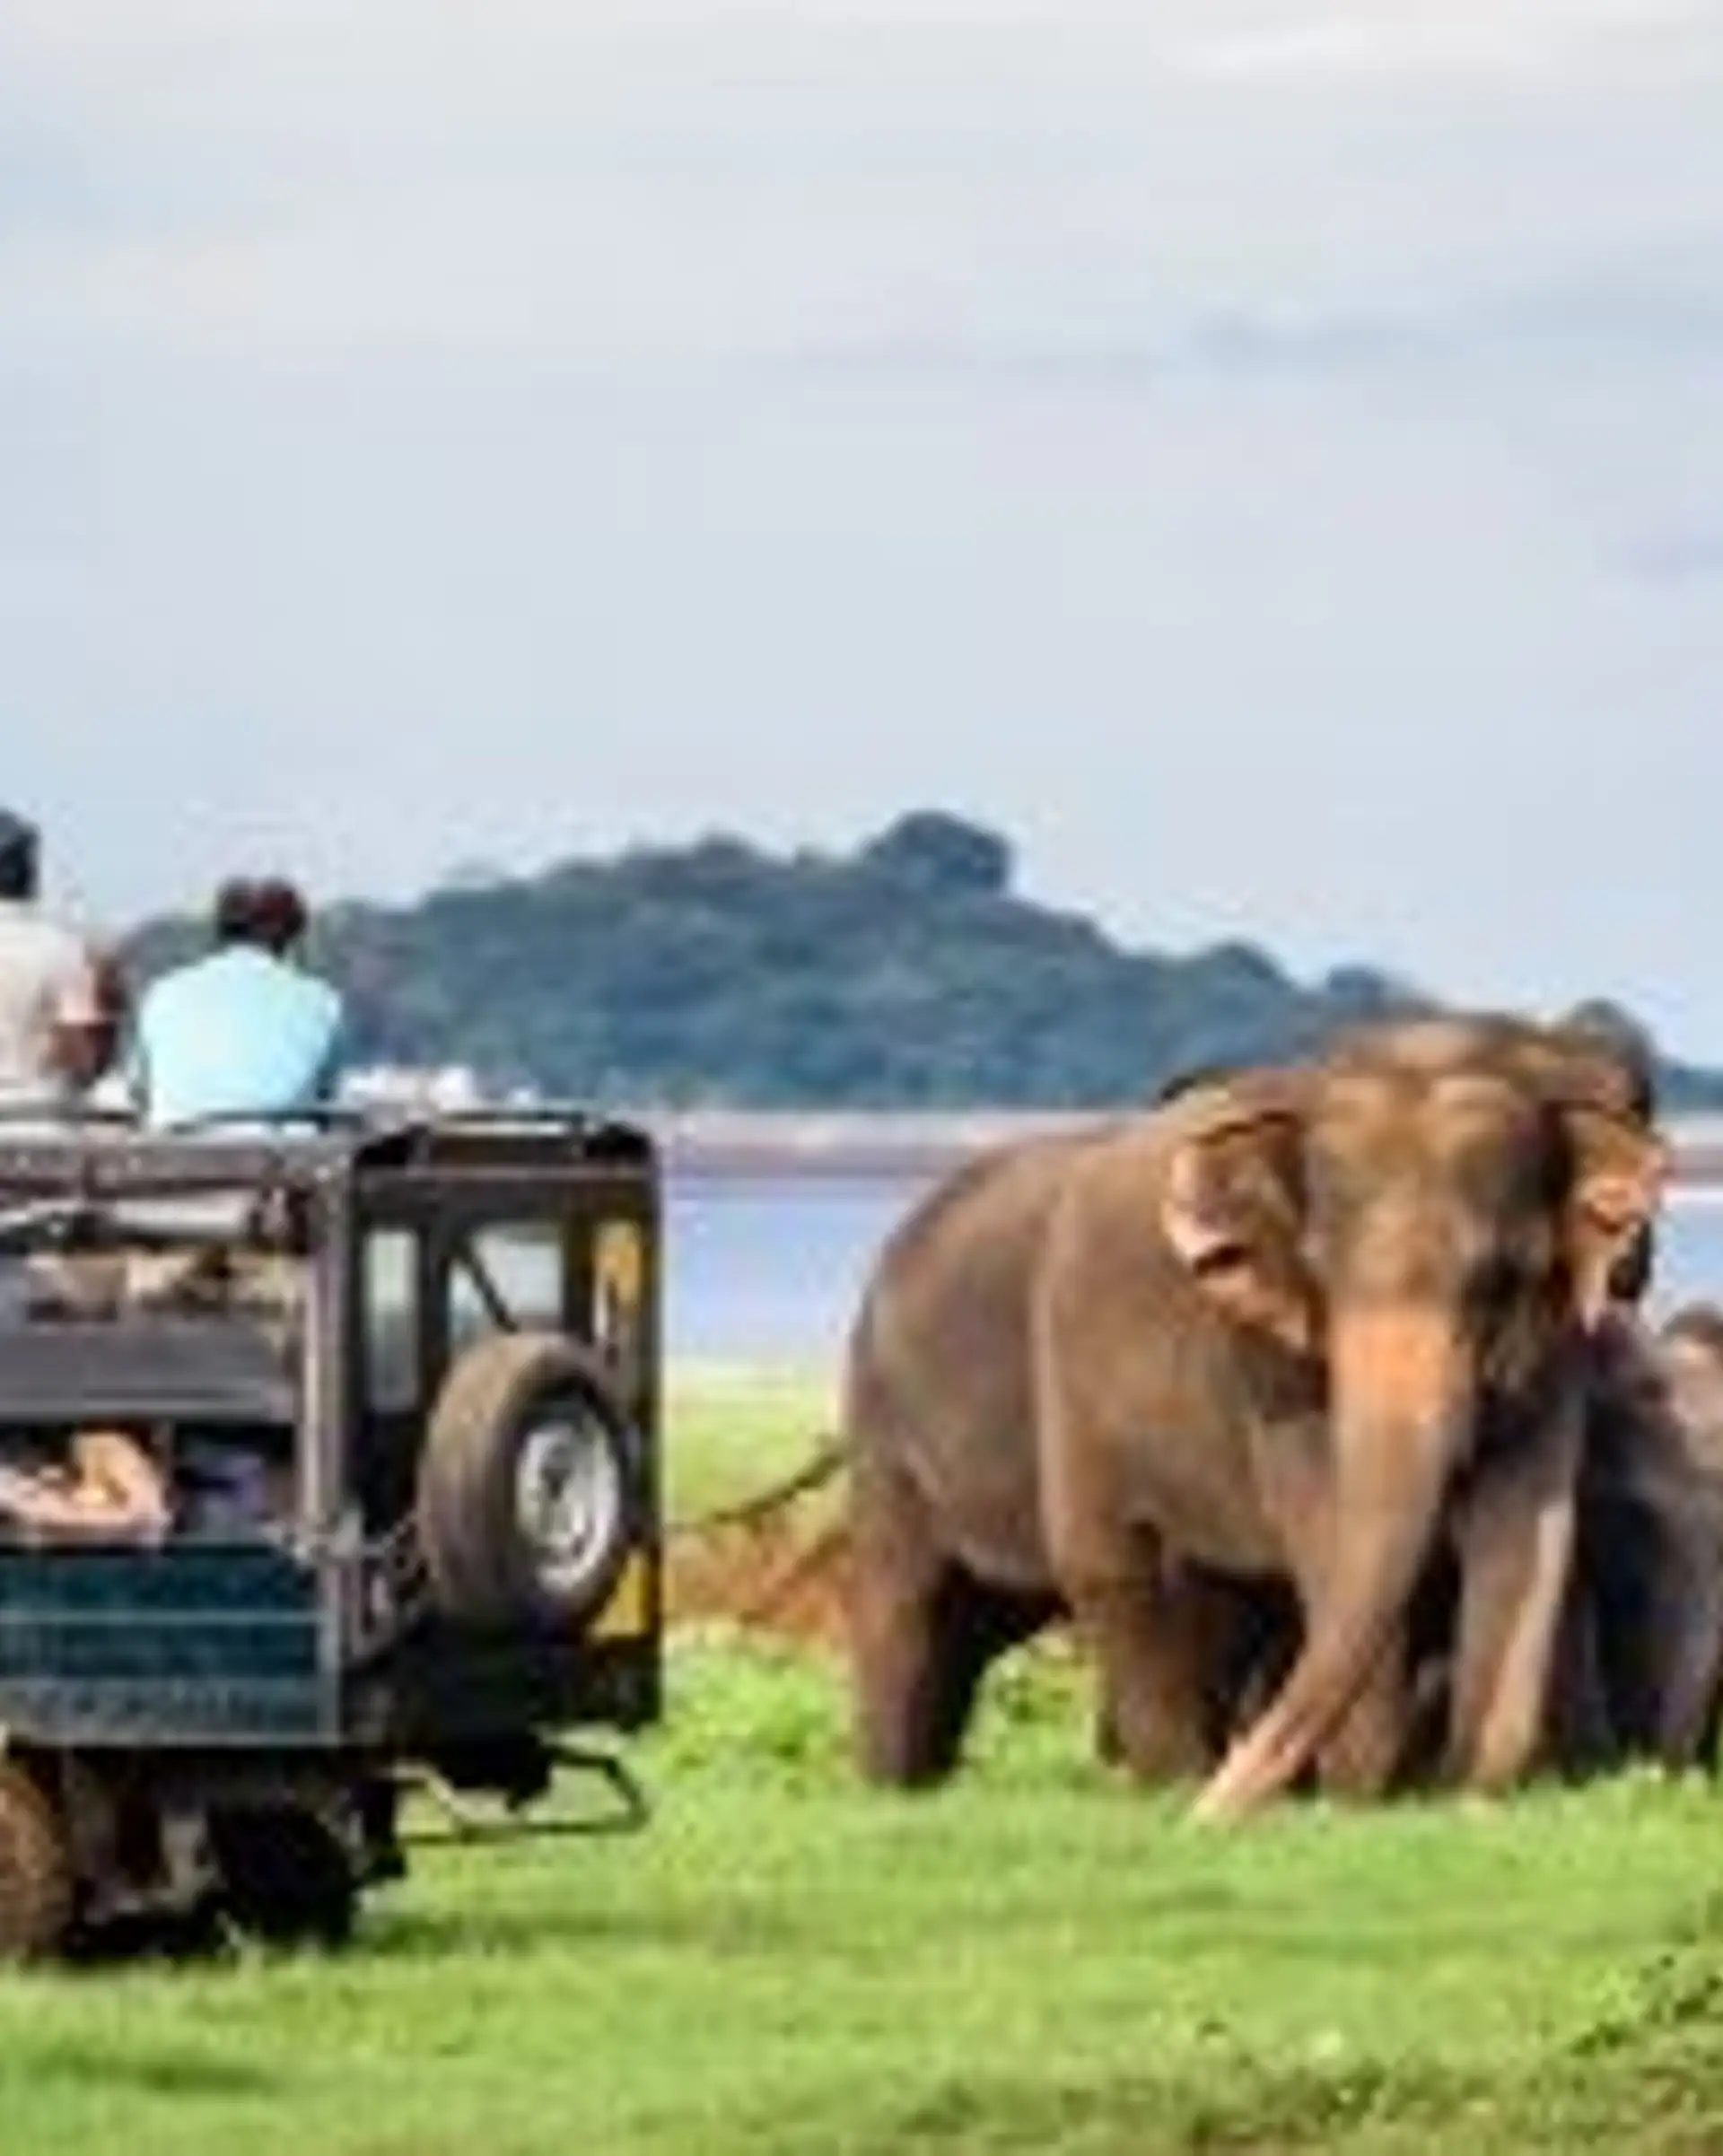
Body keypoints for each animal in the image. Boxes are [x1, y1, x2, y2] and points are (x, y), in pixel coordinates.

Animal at [842, 1014, 1664, 1820]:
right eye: (1319, 1274)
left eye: (1501, 1280)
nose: (1218, 1811)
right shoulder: (1267, 1360)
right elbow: (1327, 1530)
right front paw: (1363, 1799)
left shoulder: (1555, 1345)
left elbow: (1527, 1531)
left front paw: (1467, 1793)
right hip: (947, 1405)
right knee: (1016, 1578)